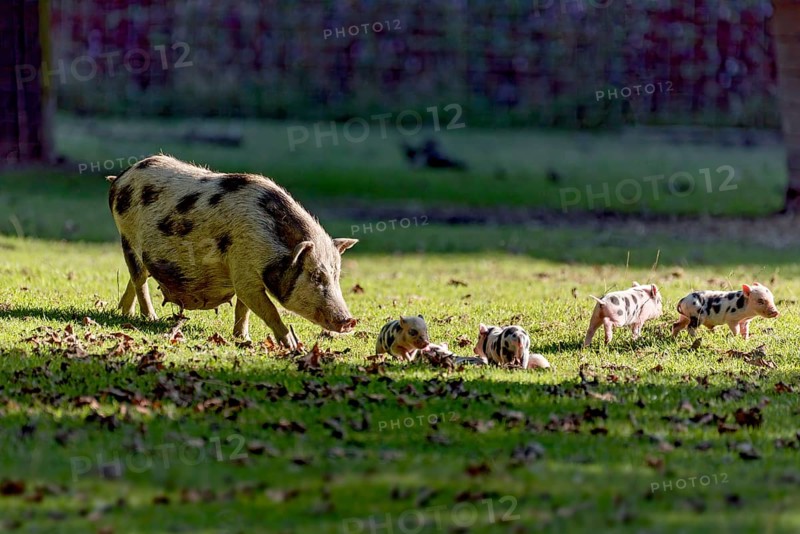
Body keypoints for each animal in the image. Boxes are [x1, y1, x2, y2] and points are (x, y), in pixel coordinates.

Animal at [107, 154, 358, 349]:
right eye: (315, 276)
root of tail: (120, 178)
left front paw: (242, 337)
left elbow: (243, 308)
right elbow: (266, 309)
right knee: (139, 279)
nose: (349, 320)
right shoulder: (244, 271)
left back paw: (124, 313)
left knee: (136, 278)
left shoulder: (245, 274)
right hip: (127, 238)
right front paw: (292, 346)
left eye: (337, 276)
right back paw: (150, 317)